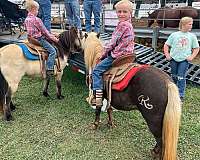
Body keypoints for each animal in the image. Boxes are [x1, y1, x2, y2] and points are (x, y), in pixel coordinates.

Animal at [82, 31, 182, 159]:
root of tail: (167, 82)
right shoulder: (109, 97)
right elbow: (109, 109)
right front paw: (110, 123)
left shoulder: (98, 93)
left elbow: (98, 109)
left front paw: (95, 124)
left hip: (153, 120)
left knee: (161, 141)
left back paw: (155, 153)